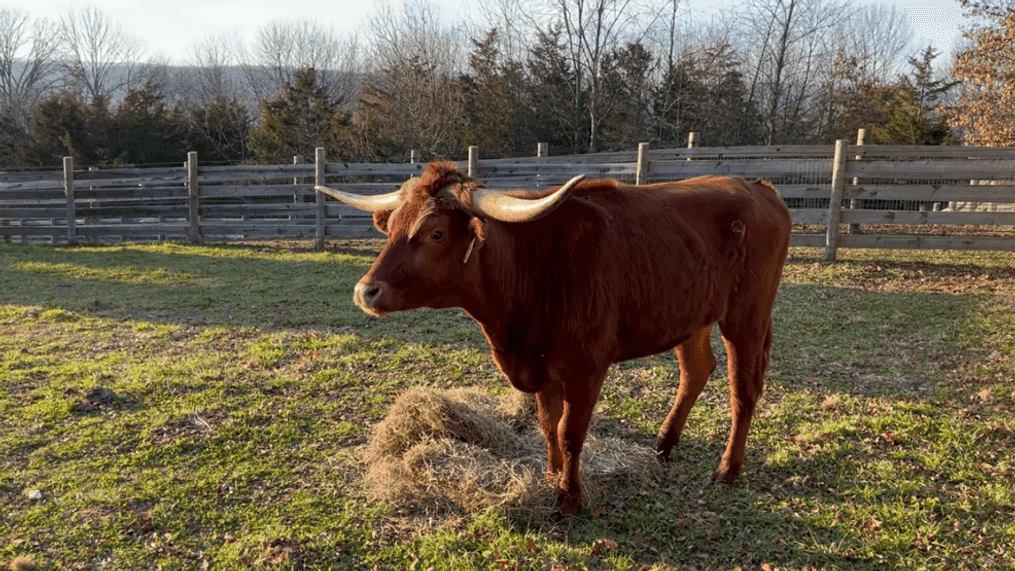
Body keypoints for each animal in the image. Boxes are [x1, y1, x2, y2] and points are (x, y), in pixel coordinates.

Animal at [318, 162, 791, 519]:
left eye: (435, 233)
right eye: (391, 227)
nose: (365, 291)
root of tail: (758, 188)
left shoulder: (586, 369)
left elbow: (570, 432)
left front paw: (569, 497)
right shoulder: (541, 368)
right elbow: (548, 426)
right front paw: (550, 476)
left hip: (747, 316)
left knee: (742, 390)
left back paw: (727, 469)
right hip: (691, 319)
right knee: (696, 371)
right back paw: (662, 445)